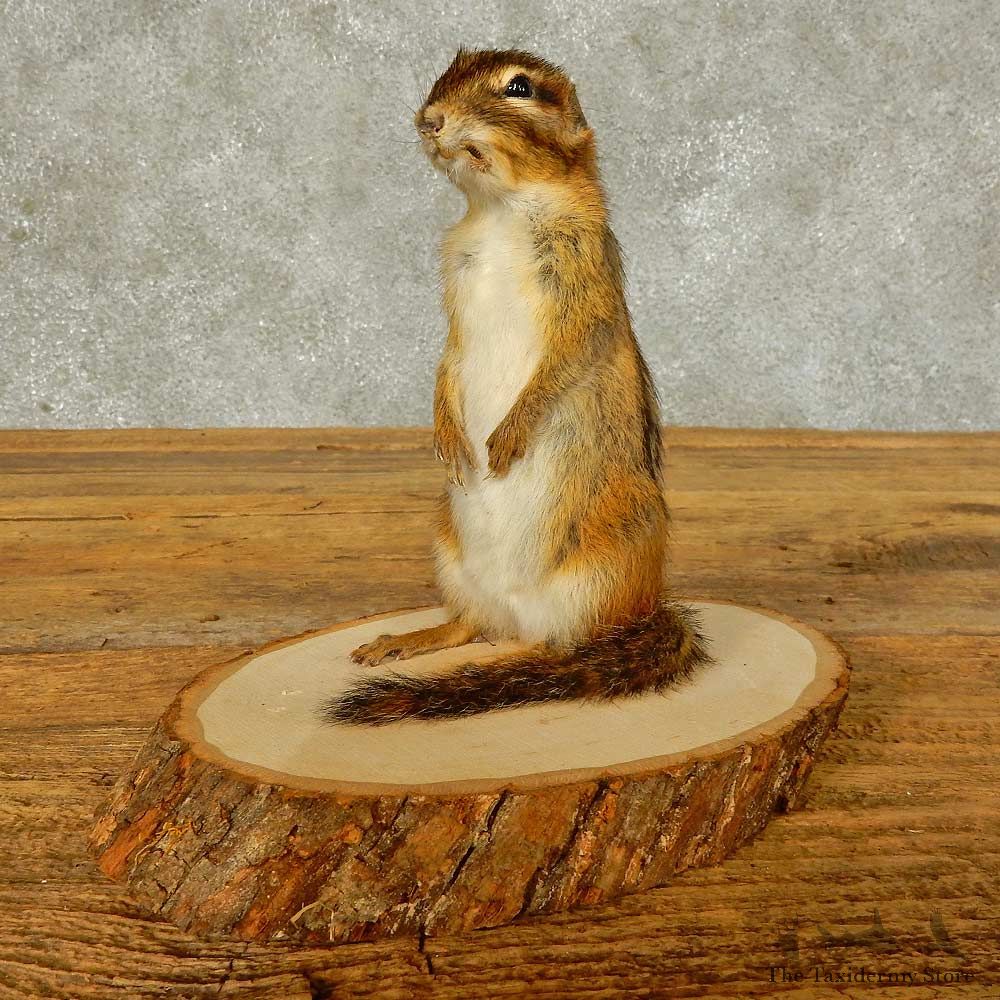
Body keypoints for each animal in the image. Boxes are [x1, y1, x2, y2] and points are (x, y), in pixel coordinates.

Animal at [322, 48, 710, 726]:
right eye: (443, 76)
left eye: (520, 88)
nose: (429, 120)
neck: (500, 213)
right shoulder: (454, 299)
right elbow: (445, 364)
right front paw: (450, 440)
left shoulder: (584, 284)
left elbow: (563, 360)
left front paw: (506, 437)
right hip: (450, 553)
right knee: (472, 626)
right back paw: (406, 641)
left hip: (603, 570)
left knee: (567, 650)